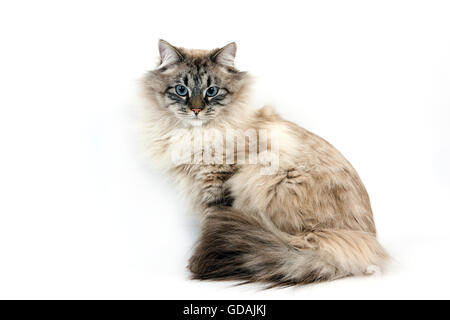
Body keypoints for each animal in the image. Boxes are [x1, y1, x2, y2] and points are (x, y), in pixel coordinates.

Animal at [142, 38, 388, 286]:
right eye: (181, 90)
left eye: (212, 91)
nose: (195, 110)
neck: (198, 135)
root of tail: (368, 241)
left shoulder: (218, 185)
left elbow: (211, 221)